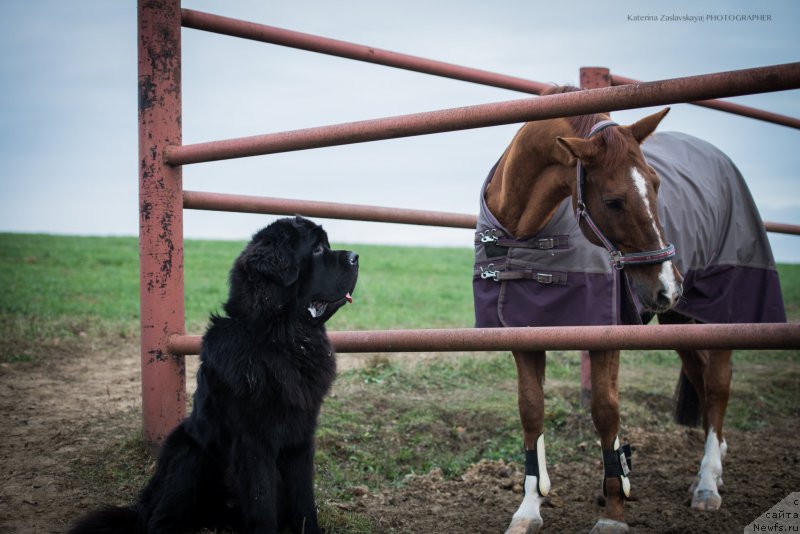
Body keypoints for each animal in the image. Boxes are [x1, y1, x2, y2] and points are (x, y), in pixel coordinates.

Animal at [72, 218, 360, 534]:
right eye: (318, 249)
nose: (356, 256)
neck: (282, 340)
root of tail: (144, 504)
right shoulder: (253, 442)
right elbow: (261, 500)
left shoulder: (301, 437)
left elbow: (304, 501)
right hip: (188, 454)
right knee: (160, 520)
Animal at [472, 86, 784, 532]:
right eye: (614, 201)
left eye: (656, 184)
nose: (669, 285)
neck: (525, 235)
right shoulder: (523, 335)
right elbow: (531, 413)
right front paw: (528, 509)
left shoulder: (605, 335)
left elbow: (606, 412)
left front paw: (614, 510)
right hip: (679, 321)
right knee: (702, 381)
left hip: (722, 313)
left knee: (719, 385)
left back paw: (708, 483)